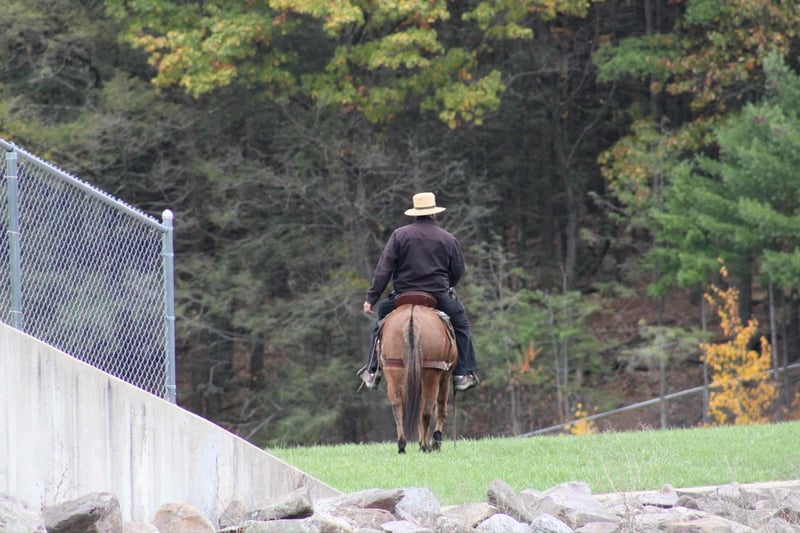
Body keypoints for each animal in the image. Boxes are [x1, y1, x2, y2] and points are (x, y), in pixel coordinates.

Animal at [378, 291, 458, 454]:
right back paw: (427, 446)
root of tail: (412, 317)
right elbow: (441, 410)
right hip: (431, 375)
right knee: (426, 411)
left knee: (398, 408)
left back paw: (402, 445)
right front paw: (435, 442)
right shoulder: (444, 380)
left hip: (394, 373)